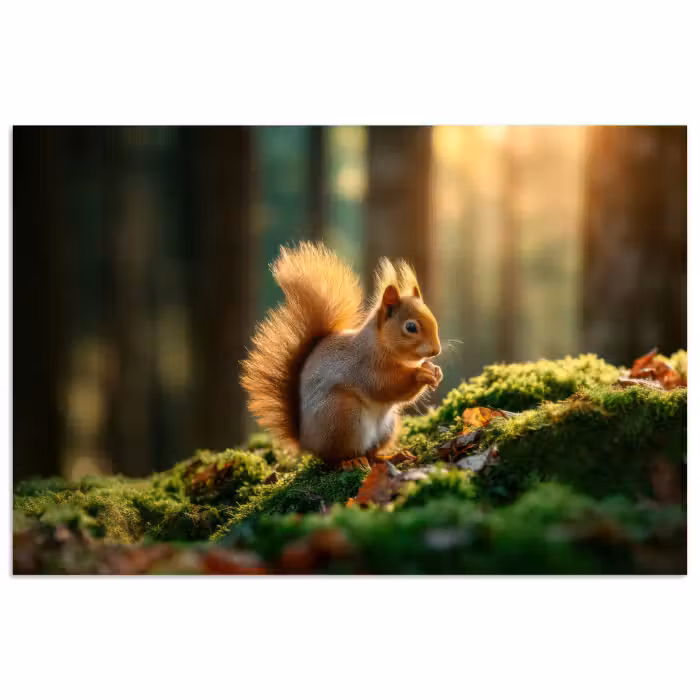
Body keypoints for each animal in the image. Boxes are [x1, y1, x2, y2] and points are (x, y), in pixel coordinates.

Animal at [241, 242, 443, 468]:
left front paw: (435, 371)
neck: (380, 345)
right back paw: (352, 462)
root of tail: (306, 442)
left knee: (372, 453)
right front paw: (421, 374)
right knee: (338, 457)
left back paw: (393, 456)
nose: (436, 350)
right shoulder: (365, 366)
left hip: (387, 426)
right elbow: (388, 386)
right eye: (411, 327)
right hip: (343, 416)